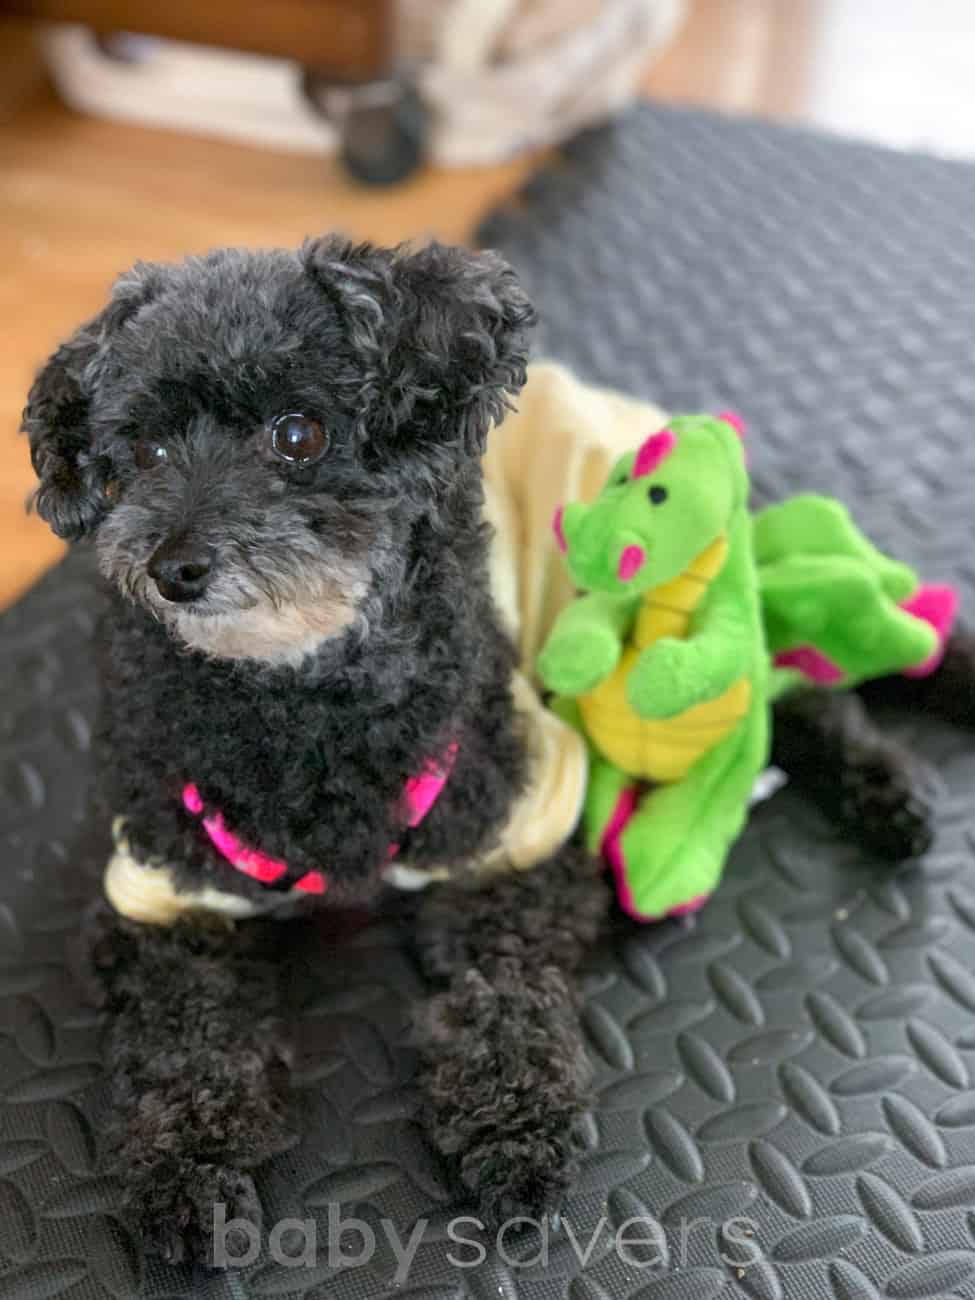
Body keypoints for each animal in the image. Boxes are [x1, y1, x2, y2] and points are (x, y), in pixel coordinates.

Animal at [20, 233, 975, 1258]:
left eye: (298, 434)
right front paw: (188, 1162)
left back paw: (886, 791)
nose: (174, 569)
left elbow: (502, 992)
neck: (307, 707)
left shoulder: (520, 834)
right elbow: (183, 1036)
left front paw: (513, 1124)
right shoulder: (157, 893)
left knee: (791, 686)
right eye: (144, 452)